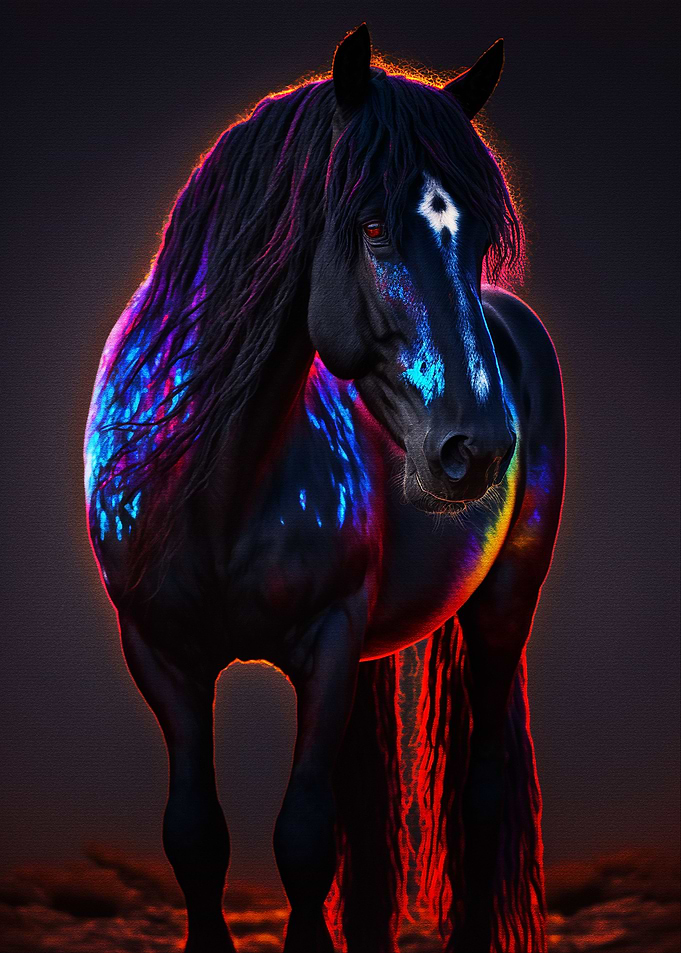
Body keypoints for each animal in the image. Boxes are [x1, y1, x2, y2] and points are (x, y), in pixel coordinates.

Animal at [84, 23, 565, 953]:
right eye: (373, 225)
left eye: (478, 238)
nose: (480, 449)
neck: (219, 487)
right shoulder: (160, 653)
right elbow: (196, 837)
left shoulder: (330, 643)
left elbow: (304, 841)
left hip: (502, 604)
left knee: (480, 798)